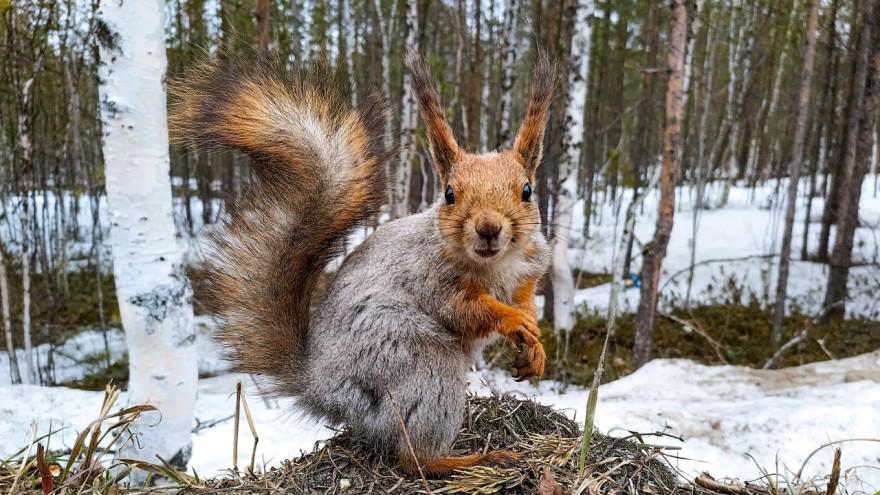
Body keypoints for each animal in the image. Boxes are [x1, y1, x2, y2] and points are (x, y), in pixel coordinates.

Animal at [170, 49, 556, 476]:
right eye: (449, 194)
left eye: (527, 191)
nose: (488, 229)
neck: (496, 265)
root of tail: (319, 388)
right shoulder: (431, 278)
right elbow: (464, 311)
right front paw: (511, 320)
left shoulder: (529, 271)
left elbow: (526, 302)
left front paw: (534, 344)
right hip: (415, 361)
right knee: (412, 458)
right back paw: (468, 459)